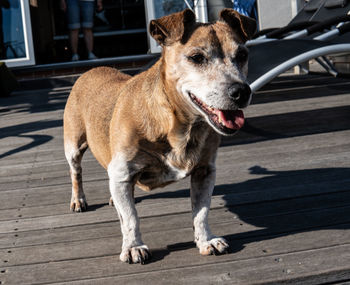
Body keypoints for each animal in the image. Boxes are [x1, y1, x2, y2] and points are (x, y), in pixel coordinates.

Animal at [63, 8, 254, 264]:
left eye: (242, 55)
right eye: (196, 58)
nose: (241, 91)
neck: (179, 125)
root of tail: (91, 70)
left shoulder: (205, 172)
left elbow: (201, 212)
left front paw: (205, 240)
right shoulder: (123, 171)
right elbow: (130, 217)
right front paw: (133, 246)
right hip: (73, 147)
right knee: (76, 172)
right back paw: (78, 200)